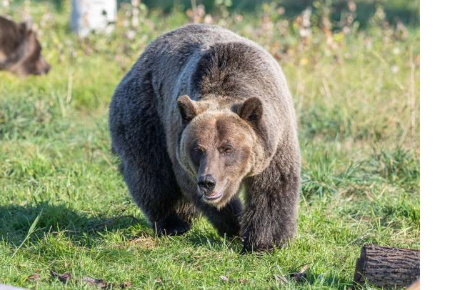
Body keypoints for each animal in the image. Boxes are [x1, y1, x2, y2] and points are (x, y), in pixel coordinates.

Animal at [109, 24, 300, 251]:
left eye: (227, 148)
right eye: (198, 149)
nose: (208, 182)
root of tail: (139, 61)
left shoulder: (276, 140)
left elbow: (272, 187)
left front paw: (264, 242)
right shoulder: (181, 147)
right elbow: (192, 187)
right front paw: (235, 225)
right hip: (145, 114)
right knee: (150, 173)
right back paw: (173, 223)